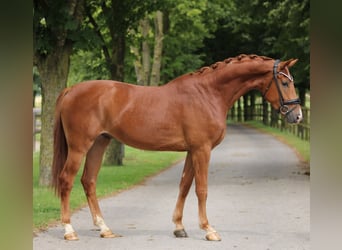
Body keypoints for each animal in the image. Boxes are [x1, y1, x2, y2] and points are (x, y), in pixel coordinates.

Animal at [51, 54, 302, 240]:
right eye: (285, 82)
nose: (297, 115)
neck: (208, 94)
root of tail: (71, 90)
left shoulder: (192, 150)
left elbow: (184, 185)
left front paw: (179, 227)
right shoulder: (202, 149)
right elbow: (202, 189)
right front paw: (209, 229)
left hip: (99, 143)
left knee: (89, 181)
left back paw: (104, 228)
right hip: (79, 147)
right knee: (66, 180)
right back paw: (69, 230)